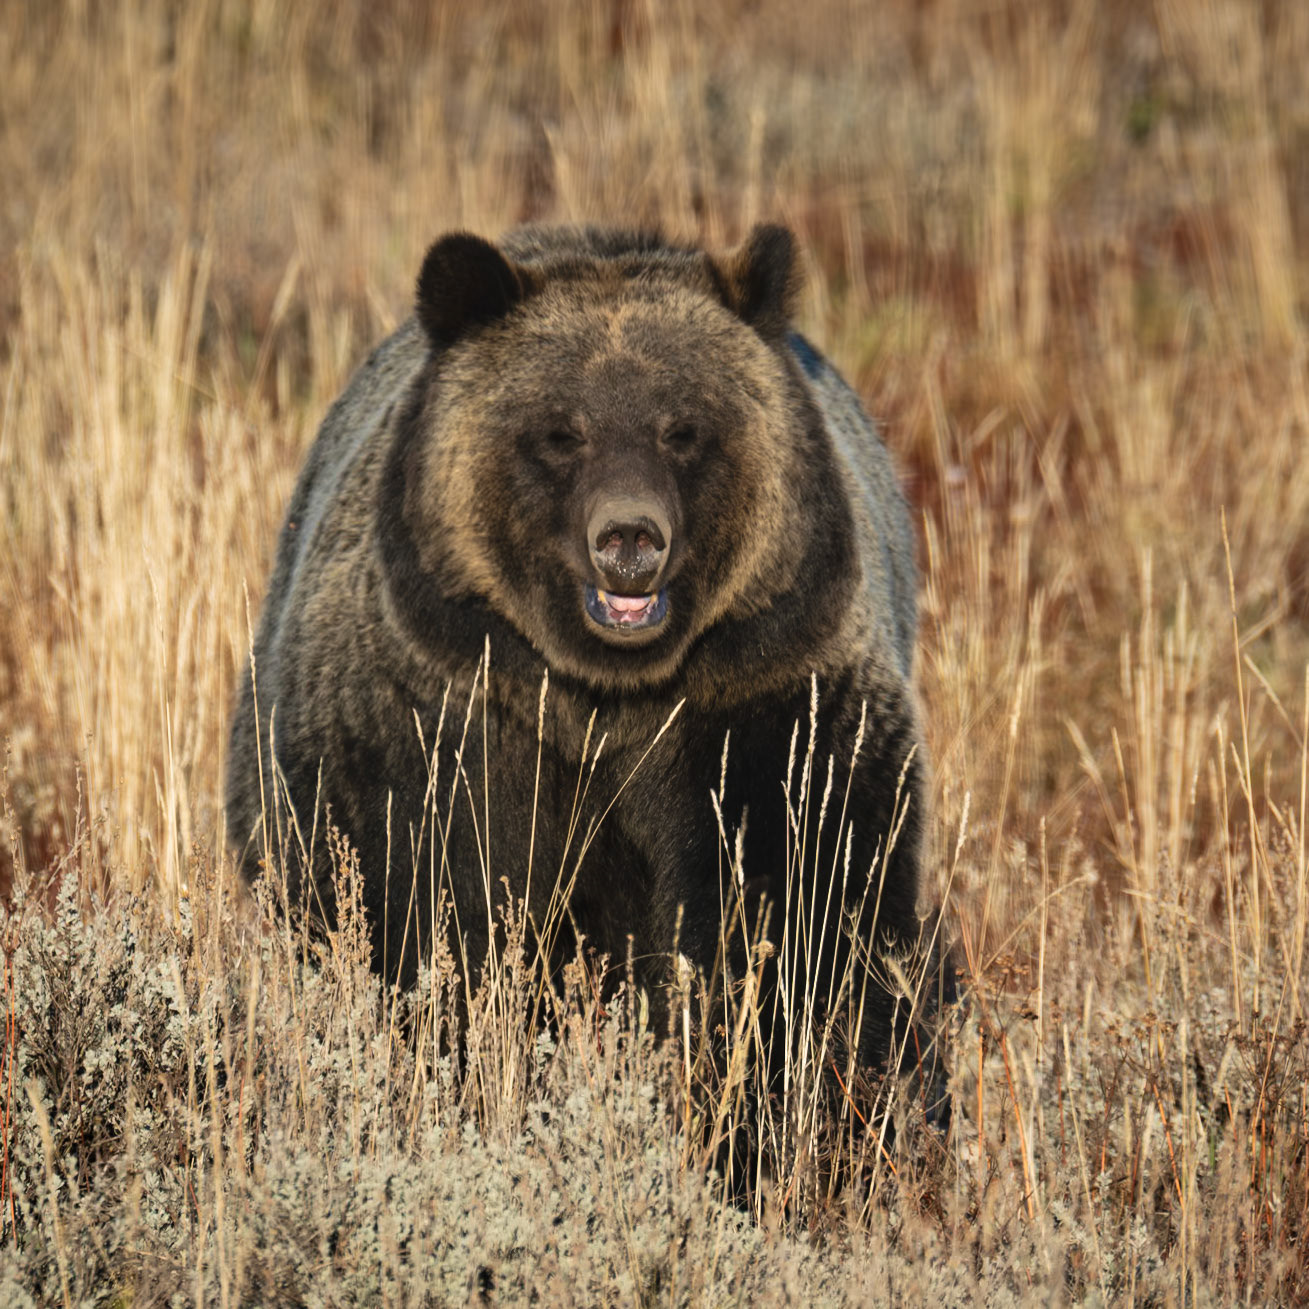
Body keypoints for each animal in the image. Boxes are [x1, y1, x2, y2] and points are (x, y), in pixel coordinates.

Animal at [226, 222, 934, 1087]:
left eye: (681, 427)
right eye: (562, 431)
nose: (629, 538)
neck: (601, 690)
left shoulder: (763, 692)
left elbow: (799, 887)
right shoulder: (440, 705)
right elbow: (407, 894)